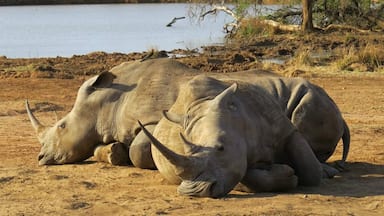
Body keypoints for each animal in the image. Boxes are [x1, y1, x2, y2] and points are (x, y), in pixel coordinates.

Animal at [26, 58, 272, 166]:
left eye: (62, 126)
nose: (40, 158)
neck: (109, 102)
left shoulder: (153, 118)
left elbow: (139, 148)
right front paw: (114, 153)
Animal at [140, 74, 350, 197]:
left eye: (221, 148)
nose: (194, 192)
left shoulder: (284, 128)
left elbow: (310, 172)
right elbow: (246, 174)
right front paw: (287, 174)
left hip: (312, 100)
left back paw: (329, 170)